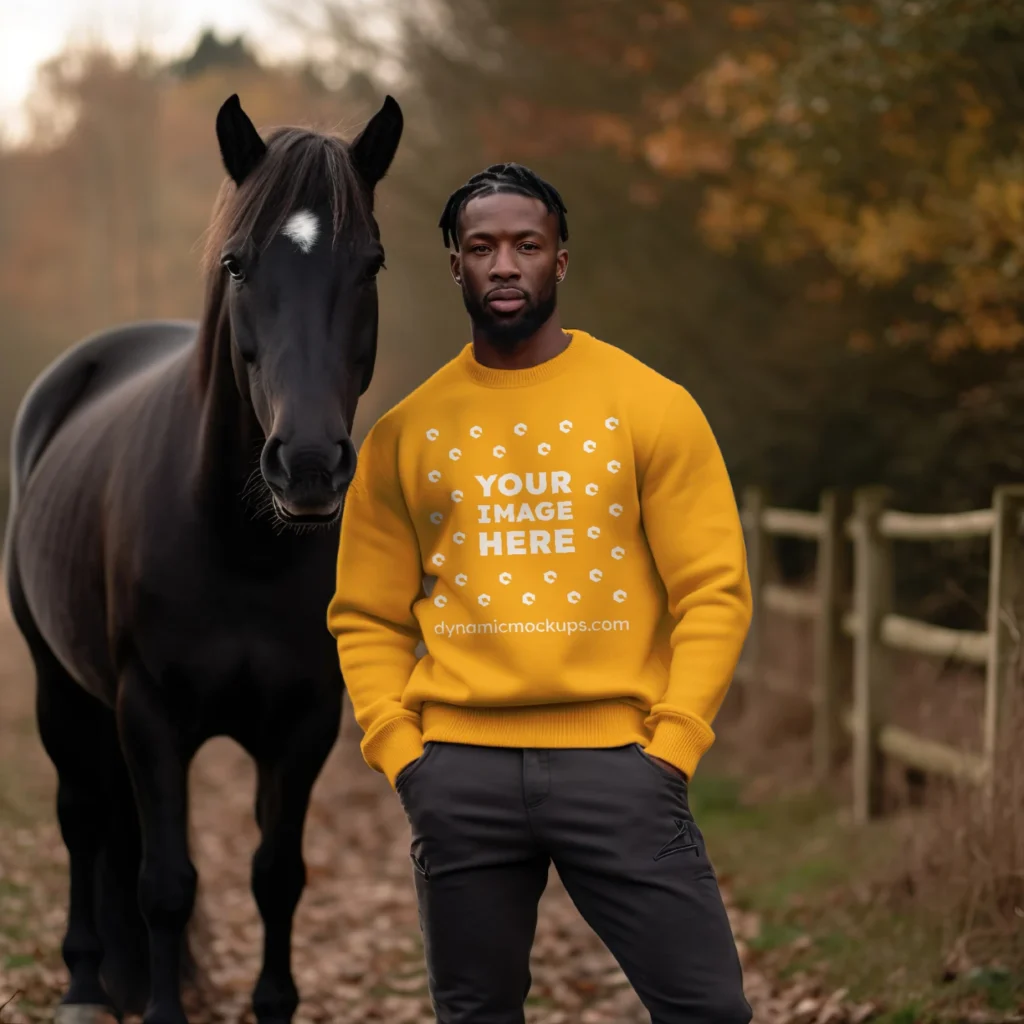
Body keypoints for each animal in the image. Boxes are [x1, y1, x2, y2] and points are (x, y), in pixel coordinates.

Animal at [4, 92, 403, 1019]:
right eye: (236, 264)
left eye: (371, 263)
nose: (308, 464)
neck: (239, 547)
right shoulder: (151, 716)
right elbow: (166, 884)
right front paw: (159, 1006)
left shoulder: (304, 725)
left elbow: (277, 877)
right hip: (59, 688)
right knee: (83, 817)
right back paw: (85, 984)